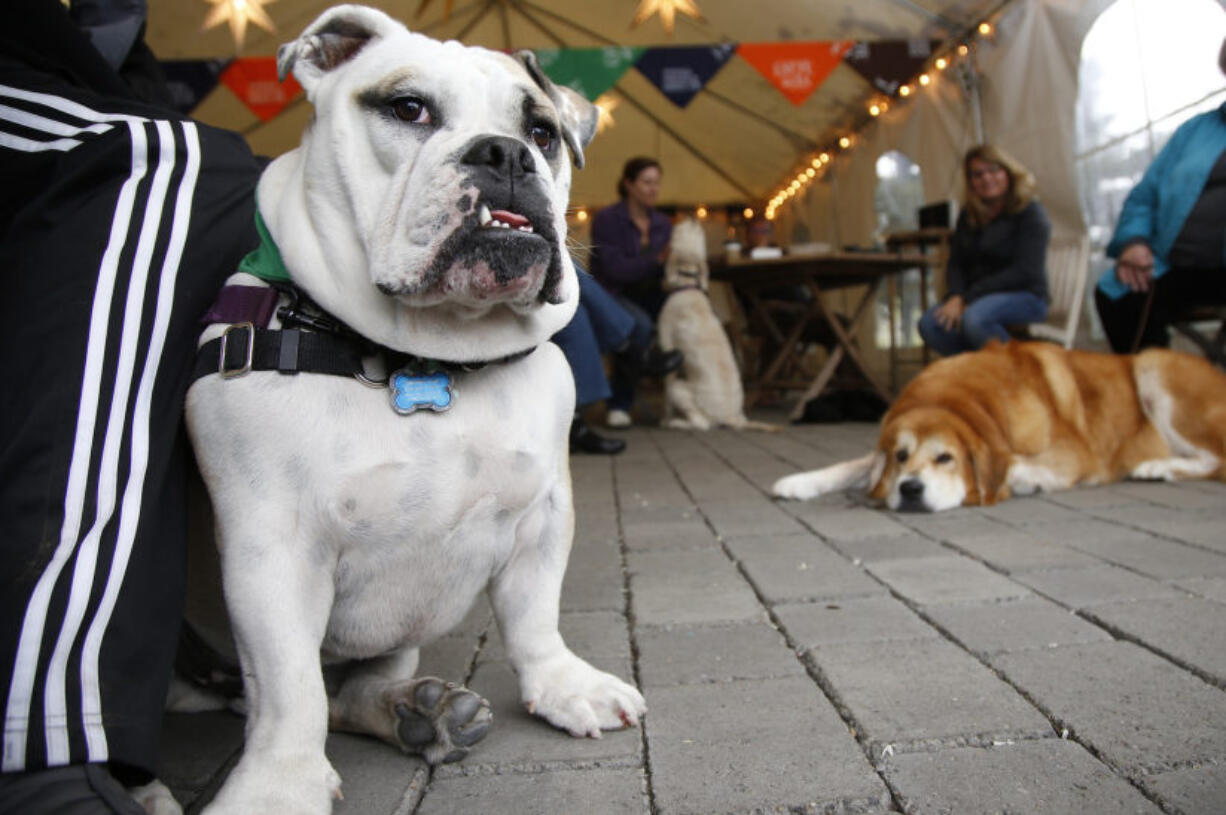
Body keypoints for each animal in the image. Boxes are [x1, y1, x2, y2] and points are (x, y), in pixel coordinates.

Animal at [178, 4, 652, 808]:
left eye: (543, 132)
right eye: (408, 109)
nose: (504, 154)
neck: (431, 355)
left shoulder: (544, 513)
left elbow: (534, 613)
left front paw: (562, 684)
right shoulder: (270, 551)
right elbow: (289, 687)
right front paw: (278, 785)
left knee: (352, 690)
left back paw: (419, 712)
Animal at [657, 215, 779, 431]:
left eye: (680, 230)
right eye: (697, 231)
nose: (692, 218)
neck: (689, 286)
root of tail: (733, 418)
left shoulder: (667, 346)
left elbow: (666, 395)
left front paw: (664, 418)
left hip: (680, 388)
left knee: (701, 423)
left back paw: (677, 422)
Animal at [774, 340, 1226, 509]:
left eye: (946, 458)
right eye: (901, 456)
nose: (911, 489)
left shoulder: (1076, 455)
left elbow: (1015, 464)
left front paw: (1025, 480)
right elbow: (853, 465)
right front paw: (800, 482)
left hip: (1154, 366)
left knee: (1217, 461)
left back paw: (1157, 467)